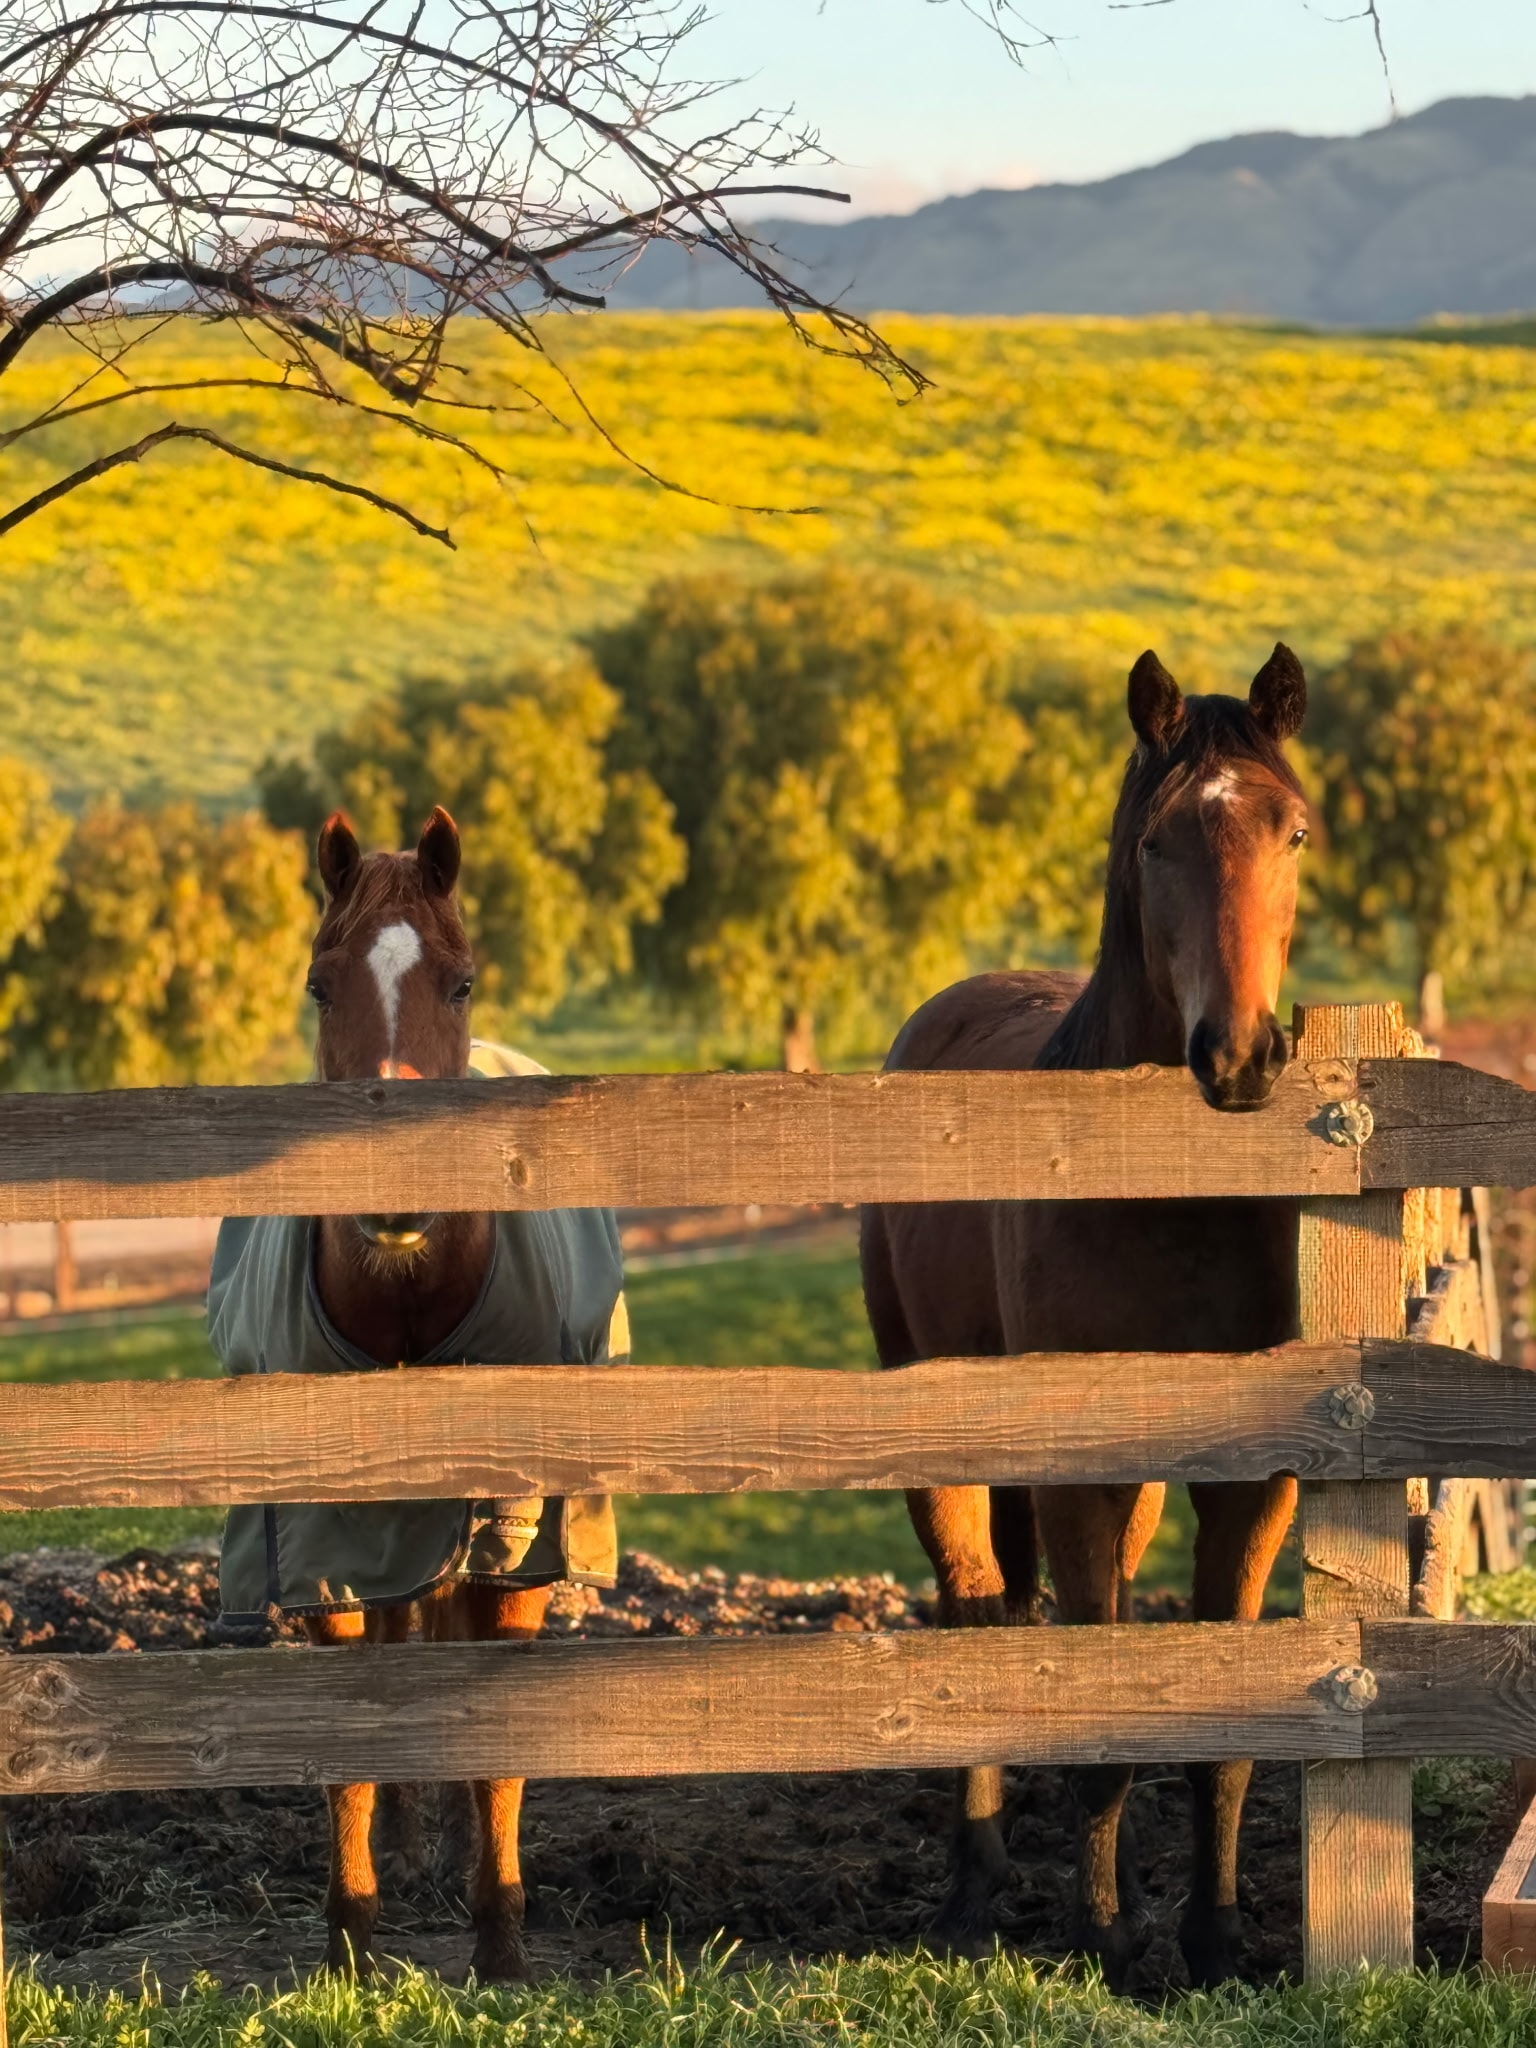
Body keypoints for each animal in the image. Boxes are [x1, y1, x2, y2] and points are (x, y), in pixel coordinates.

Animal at [209, 806, 625, 1981]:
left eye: (461, 980)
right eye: (319, 984)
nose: (393, 1192)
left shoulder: (518, 1536)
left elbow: (495, 1741)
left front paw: (501, 1945)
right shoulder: (327, 1541)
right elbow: (354, 1736)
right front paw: (352, 1936)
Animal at [859, 645, 1310, 1990]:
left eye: (1293, 829)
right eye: (1158, 840)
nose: (1240, 1057)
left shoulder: (1250, 1476)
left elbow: (1217, 1718)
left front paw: (1214, 1935)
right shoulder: (1074, 1466)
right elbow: (1094, 1710)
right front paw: (1105, 1937)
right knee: (974, 1611)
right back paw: (972, 1893)